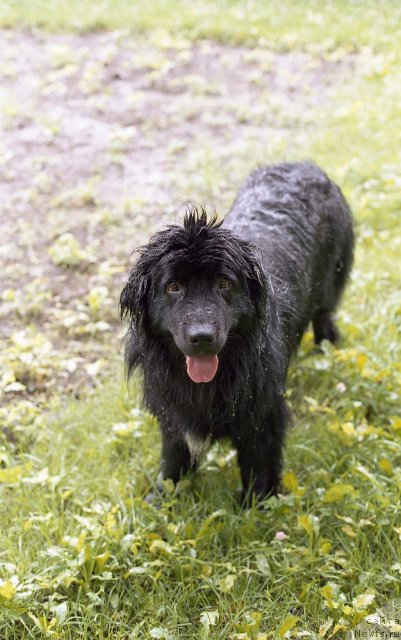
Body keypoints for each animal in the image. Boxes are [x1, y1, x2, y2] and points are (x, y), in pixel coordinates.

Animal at [119, 162, 354, 502]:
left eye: (224, 283)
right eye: (172, 286)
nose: (201, 337)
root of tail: (306, 165)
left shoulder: (263, 411)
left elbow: (258, 461)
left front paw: (257, 504)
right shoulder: (170, 406)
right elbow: (173, 451)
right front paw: (163, 495)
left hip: (331, 278)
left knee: (325, 315)